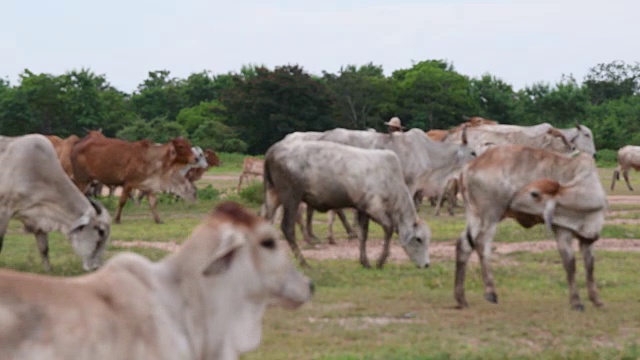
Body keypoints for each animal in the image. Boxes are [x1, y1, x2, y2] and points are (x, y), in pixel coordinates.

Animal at [0, 134, 111, 272]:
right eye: (101, 231)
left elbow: (44, 249)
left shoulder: (38, 218)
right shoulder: (4, 209)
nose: (96, 267)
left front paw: (48, 270)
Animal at [262, 139, 432, 268]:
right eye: (418, 239)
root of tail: (273, 150)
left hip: (273, 195)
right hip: (291, 196)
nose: (426, 265)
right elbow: (388, 228)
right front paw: (380, 261)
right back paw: (304, 263)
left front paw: (365, 262)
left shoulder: (362, 209)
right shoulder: (374, 208)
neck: (392, 182)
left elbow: (363, 234)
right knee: (287, 228)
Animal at [452, 145, 608, 310]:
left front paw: (596, 300)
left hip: (475, 216)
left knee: (464, 245)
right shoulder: (562, 231)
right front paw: (576, 302)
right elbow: (570, 264)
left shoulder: (588, 238)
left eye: (534, 193)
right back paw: (490, 292)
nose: (512, 200)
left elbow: (590, 266)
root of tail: (469, 167)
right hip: (490, 215)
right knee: (482, 244)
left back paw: (461, 299)